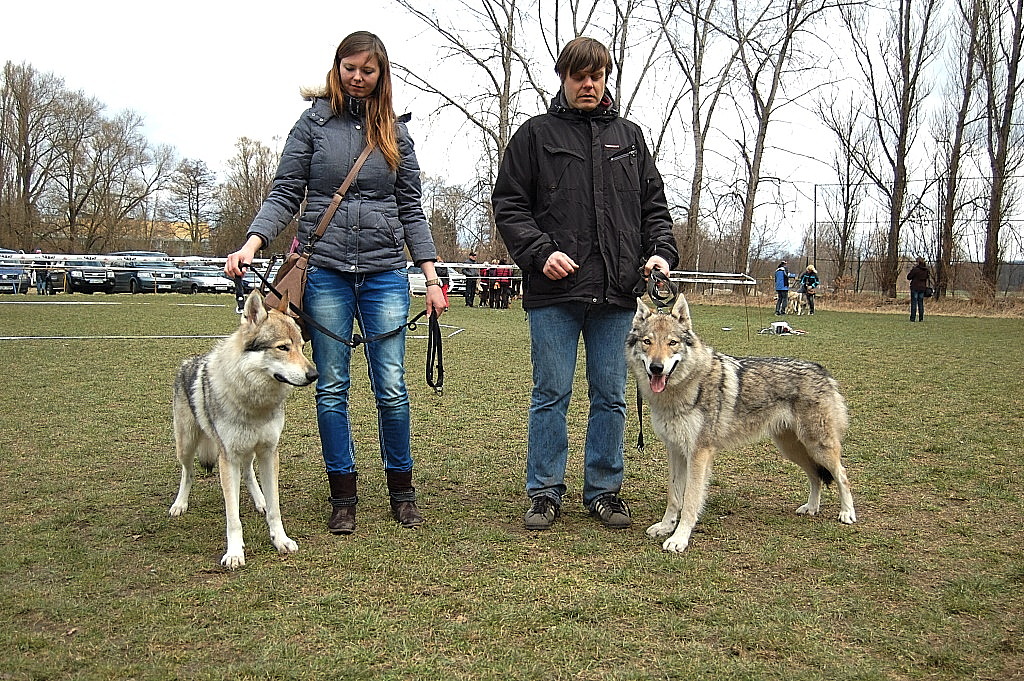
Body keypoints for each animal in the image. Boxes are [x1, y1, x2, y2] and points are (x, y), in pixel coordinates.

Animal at [167, 292, 315, 569]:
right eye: (283, 348)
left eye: (302, 347)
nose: (314, 374)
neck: (254, 403)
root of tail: (189, 361)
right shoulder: (228, 459)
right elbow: (232, 516)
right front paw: (234, 553)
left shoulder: (269, 452)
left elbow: (275, 508)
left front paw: (280, 540)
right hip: (187, 445)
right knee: (187, 473)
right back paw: (180, 504)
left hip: (249, 450)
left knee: (248, 473)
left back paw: (260, 501)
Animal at [622, 292, 856, 552]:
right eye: (647, 342)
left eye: (672, 343)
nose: (657, 368)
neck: (682, 389)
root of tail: (823, 371)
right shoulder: (675, 450)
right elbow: (674, 496)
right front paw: (665, 527)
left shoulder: (698, 453)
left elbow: (691, 501)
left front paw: (679, 538)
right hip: (792, 449)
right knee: (816, 476)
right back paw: (812, 508)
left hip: (818, 446)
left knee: (842, 475)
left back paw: (847, 513)